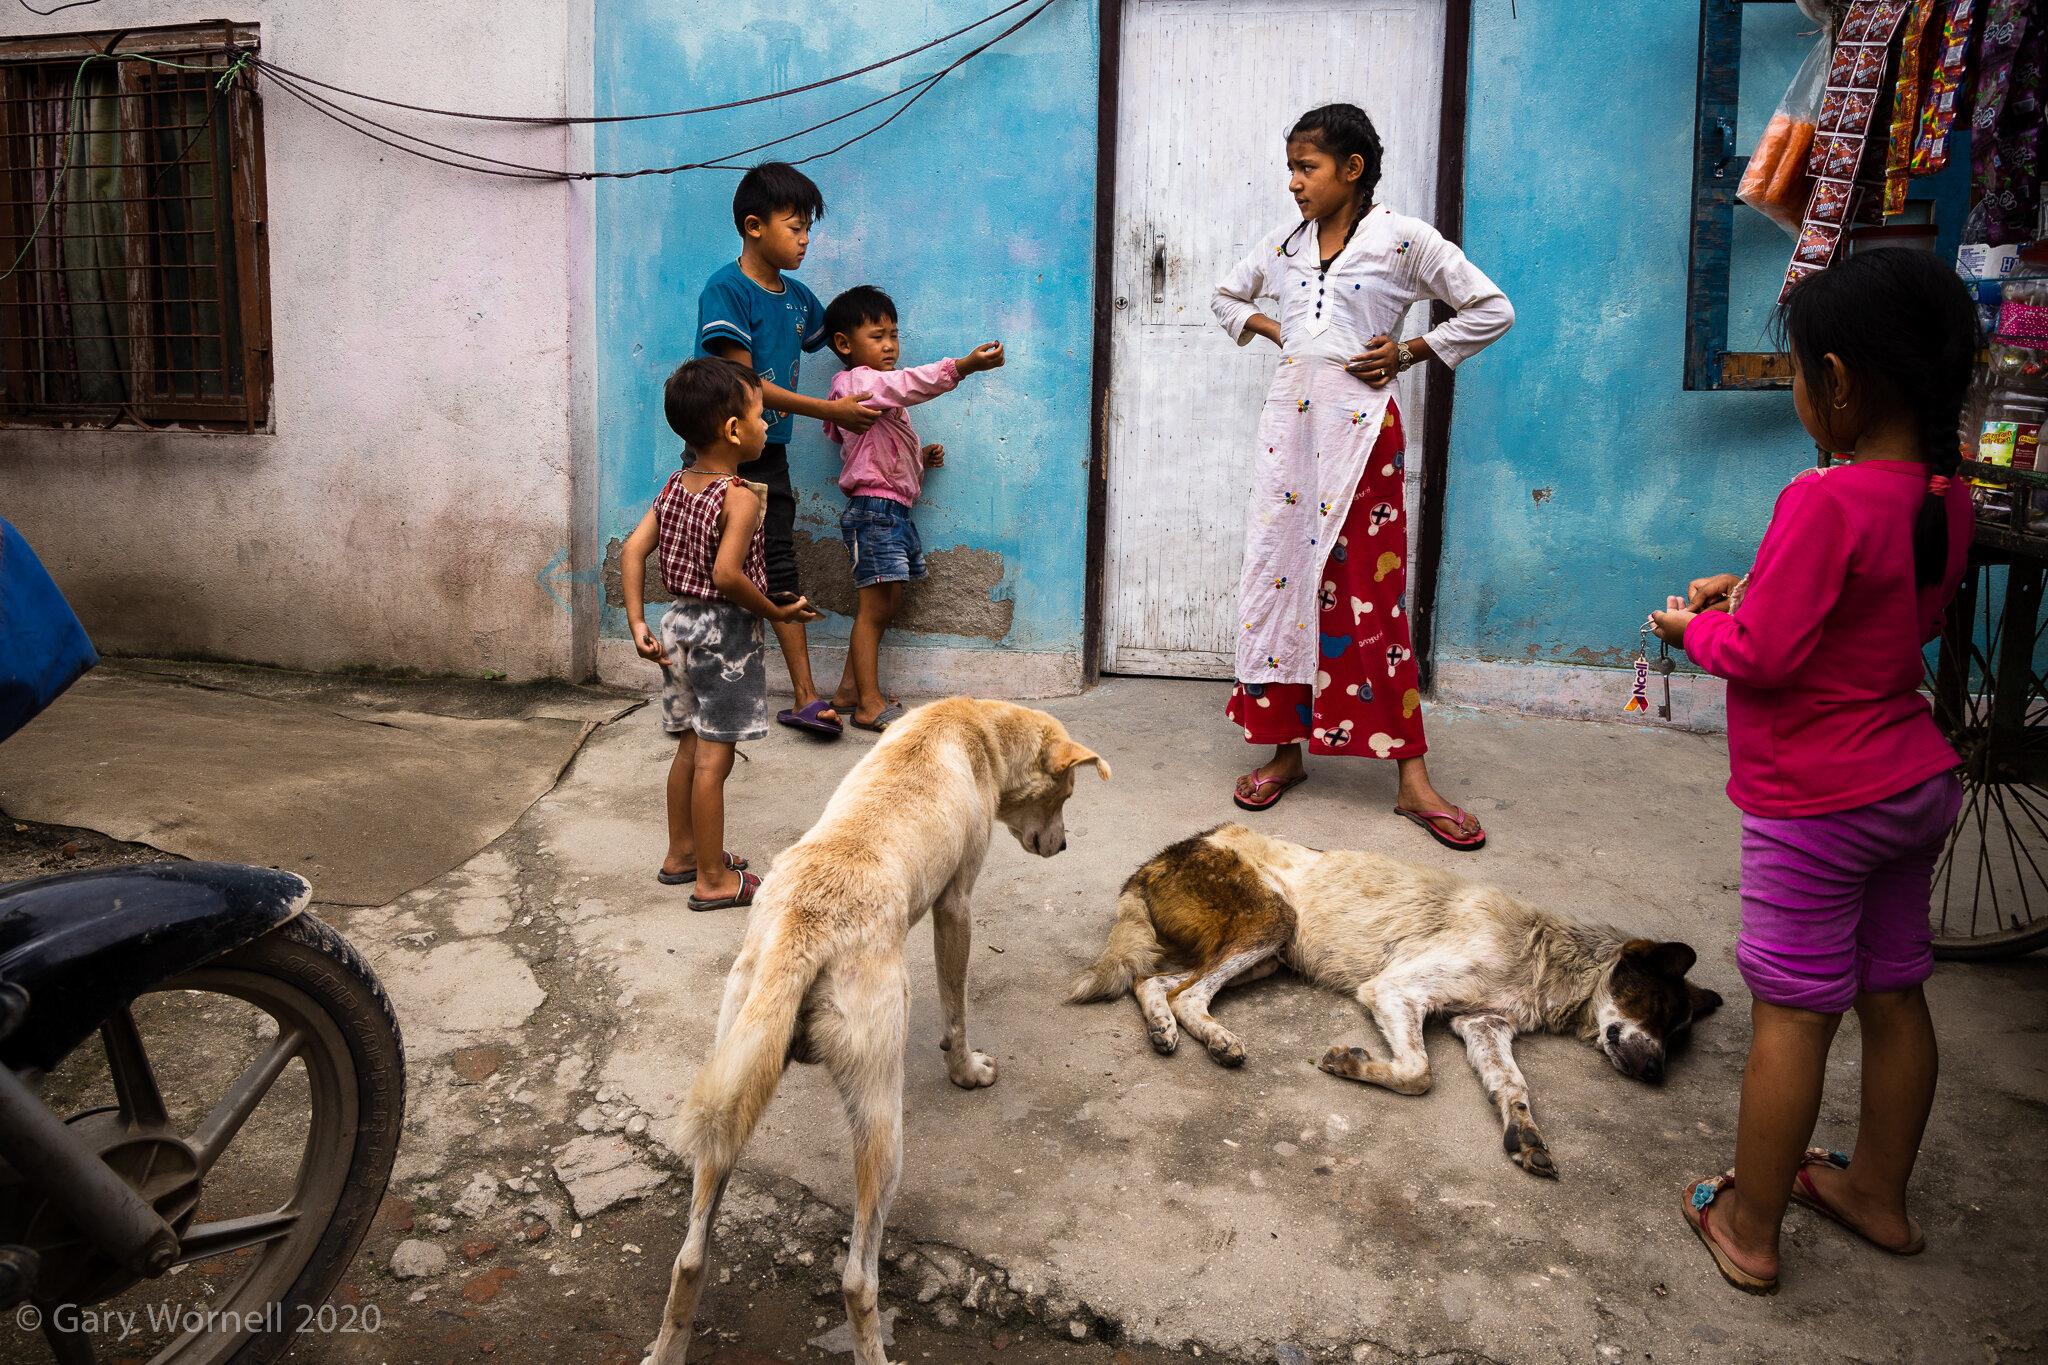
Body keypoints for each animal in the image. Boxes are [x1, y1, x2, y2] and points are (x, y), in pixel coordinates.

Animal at [1064, 822, 1720, 1178]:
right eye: (1658, 1011)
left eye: (1678, 1036)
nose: (1657, 1073)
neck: (1545, 956)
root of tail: (1154, 860)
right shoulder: (1395, 990)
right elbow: (1419, 1073)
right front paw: (1351, 1065)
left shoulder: (1484, 1026)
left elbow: (1513, 1087)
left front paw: (1527, 1134)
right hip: (1273, 922)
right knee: (1184, 992)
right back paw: (1217, 1039)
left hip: (1268, 954)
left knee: (1155, 984)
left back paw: (1164, 1029)